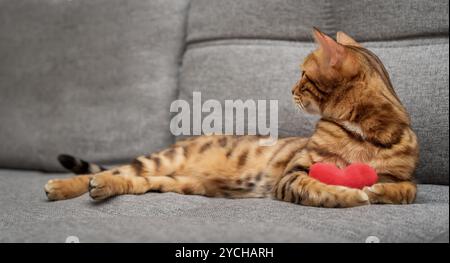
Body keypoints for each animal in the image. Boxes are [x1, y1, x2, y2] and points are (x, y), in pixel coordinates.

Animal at [44, 29, 418, 208]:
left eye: (302, 75)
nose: (290, 89)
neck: (364, 132)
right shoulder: (294, 174)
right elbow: (318, 188)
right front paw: (351, 194)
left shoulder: (404, 176)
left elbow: (408, 189)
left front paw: (377, 189)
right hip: (163, 159)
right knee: (114, 170)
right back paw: (63, 186)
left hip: (176, 181)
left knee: (130, 181)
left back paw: (99, 187)